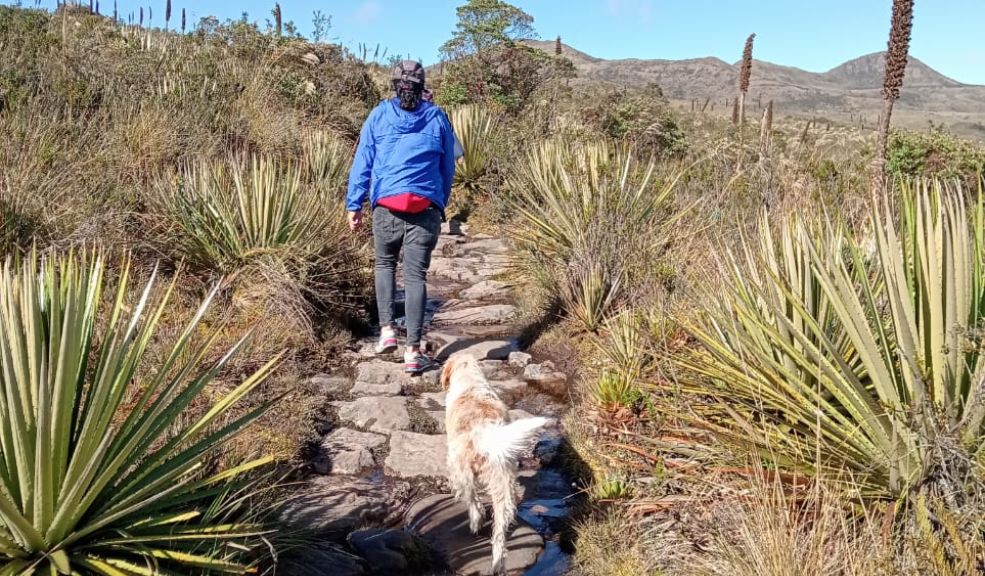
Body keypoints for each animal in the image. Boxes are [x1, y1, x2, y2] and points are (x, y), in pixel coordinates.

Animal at [440, 354, 548, 572]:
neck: (470, 382)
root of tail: (485, 434)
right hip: (504, 488)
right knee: (499, 535)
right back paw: (498, 564)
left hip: (460, 472)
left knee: (472, 502)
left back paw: (475, 524)